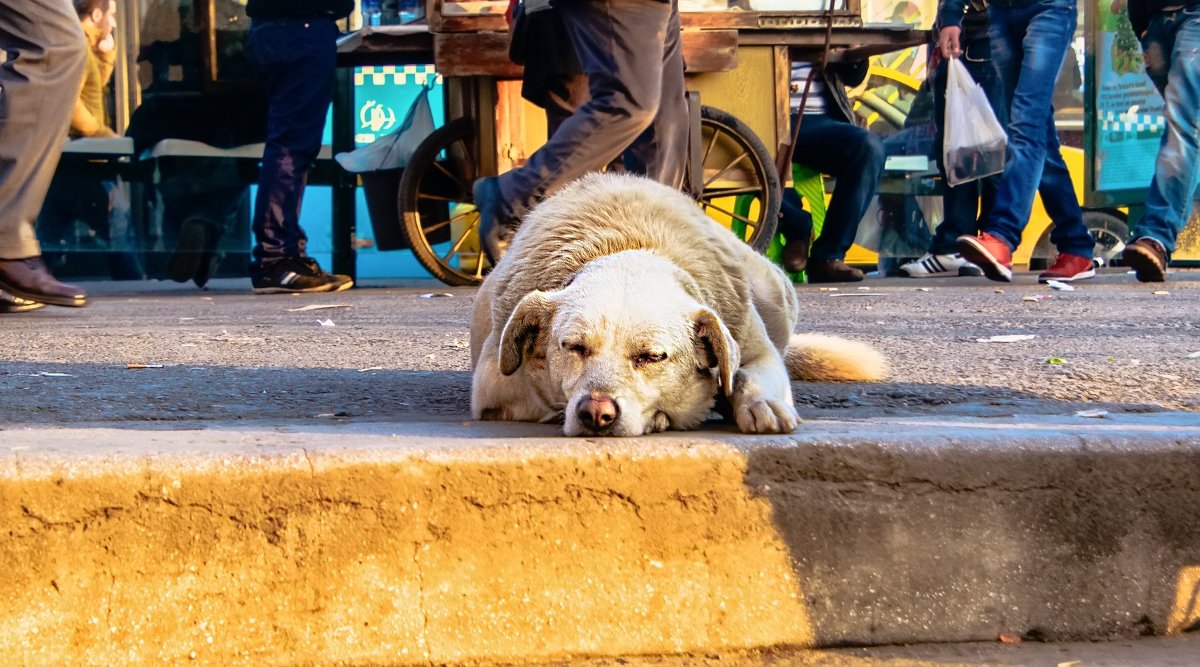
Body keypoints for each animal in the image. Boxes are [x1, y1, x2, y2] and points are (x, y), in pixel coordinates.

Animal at [468, 170, 892, 436]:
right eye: (573, 347)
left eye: (653, 357)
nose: (595, 413)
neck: (628, 247)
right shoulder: (491, 385)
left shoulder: (757, 350)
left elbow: (749, 373)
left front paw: (760, 402)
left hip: (773, 288)